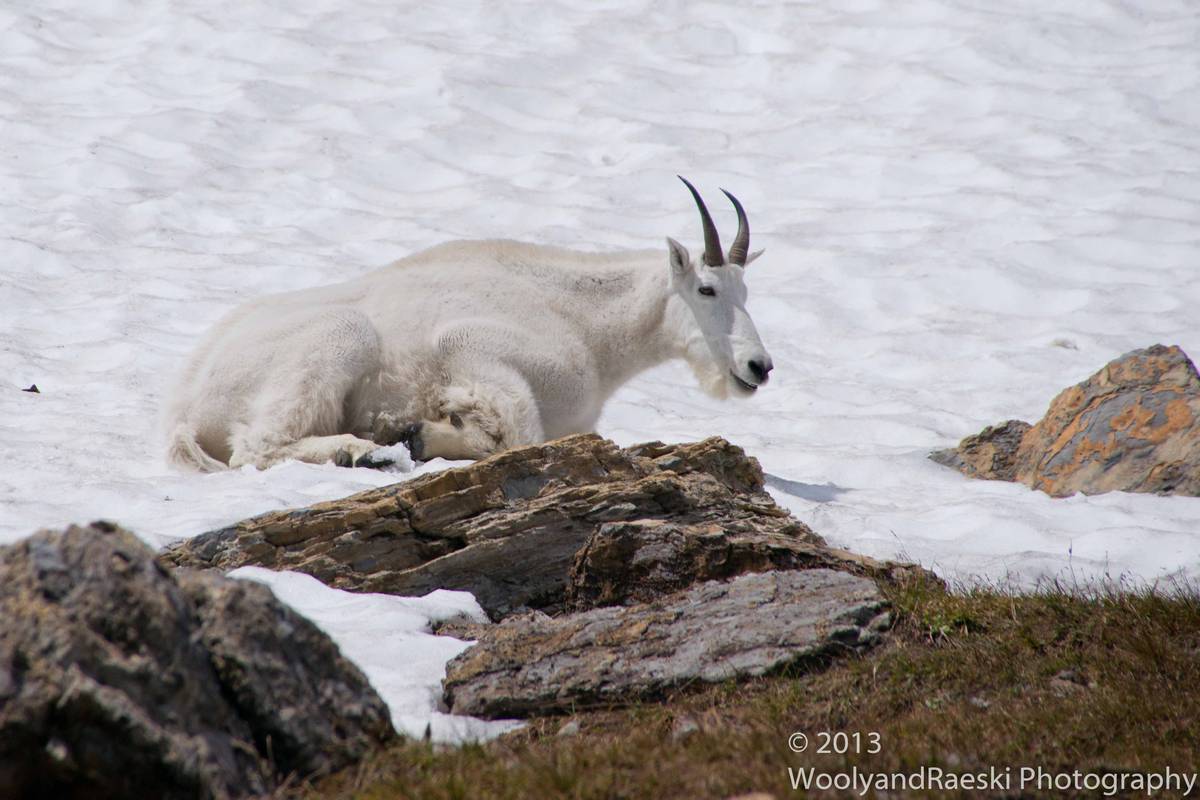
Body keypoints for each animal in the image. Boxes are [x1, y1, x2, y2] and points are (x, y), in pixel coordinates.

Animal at [164, 176, 772, 470]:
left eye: (747, 290)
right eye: (707, 288)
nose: (758, 366)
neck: (588, 328)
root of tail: (185, 405)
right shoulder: (470, 346)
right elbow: (517, 435)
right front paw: (422, 430)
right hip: (338, 338)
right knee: (257, 446)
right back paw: (363, 450)